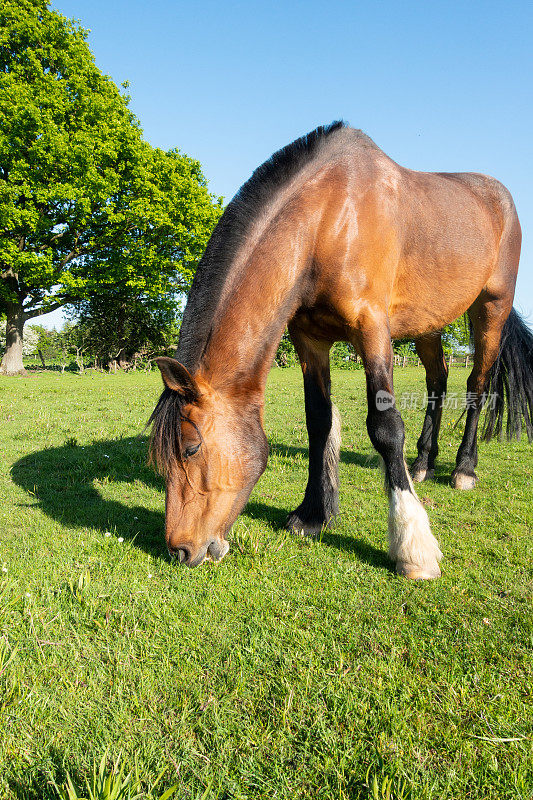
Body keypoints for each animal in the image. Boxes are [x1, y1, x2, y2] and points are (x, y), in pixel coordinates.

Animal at [149, 122, 532, 580]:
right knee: (438, 380)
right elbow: (319, 421)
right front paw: (314, 513)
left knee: (477, 385)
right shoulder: (309, 340)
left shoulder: (373, 329)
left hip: (491, 308)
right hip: (428, 323)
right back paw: (423, 462)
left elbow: (386, 427)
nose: (179, 549)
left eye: (191, 448)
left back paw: (463, 468)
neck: (329, 220)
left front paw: (413, 546)